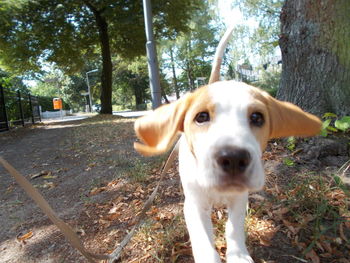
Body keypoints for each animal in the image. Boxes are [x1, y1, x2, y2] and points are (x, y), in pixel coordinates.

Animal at [133, 27, 322, 263]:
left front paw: (239, 255)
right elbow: (203, 240)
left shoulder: (239, 199)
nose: (233, 158)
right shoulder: (194, 206)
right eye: (201, 117)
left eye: (257, 117)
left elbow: (233, 227)